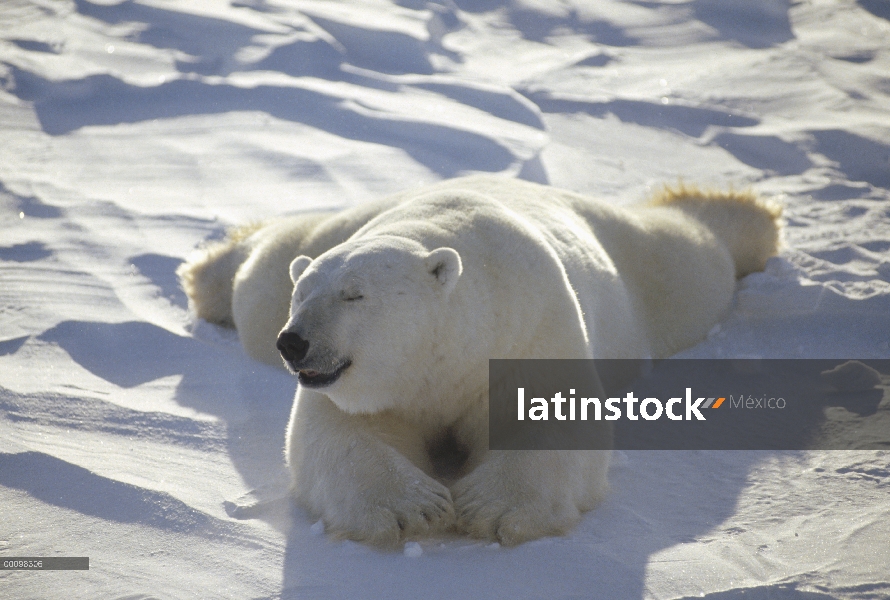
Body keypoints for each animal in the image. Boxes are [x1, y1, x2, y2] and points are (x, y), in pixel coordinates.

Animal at [179, 176, 776, 548]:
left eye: (353, 295)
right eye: (302, 295)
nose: (295, 343)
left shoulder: (528, 328)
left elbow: (549, 420)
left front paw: (492, 510)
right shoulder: (374, 385)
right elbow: (341, 431)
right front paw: (412, 509)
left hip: (641, 277)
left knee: (691, 259)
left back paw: (743, 216)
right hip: (321, 243)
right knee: (263, 273)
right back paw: (208, 274)